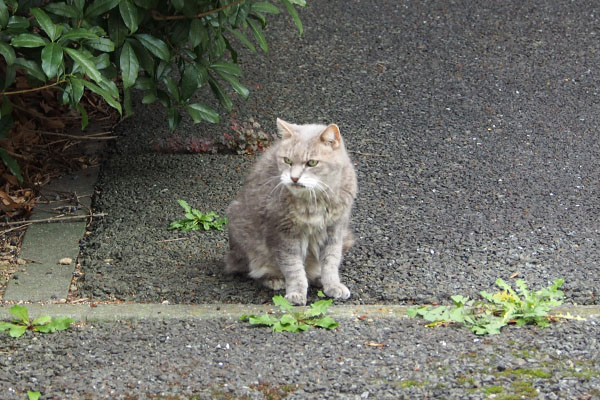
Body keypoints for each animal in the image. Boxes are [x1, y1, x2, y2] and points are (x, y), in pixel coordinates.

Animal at [225, 117, 356, 304]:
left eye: (312, 163)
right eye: (287, 160)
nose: (294, 178)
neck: (314, 200)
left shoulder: (334, 230)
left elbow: (330, 262)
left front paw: (332, 285)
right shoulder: (283, 233)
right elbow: (293, 267)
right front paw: (296, 292)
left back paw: (317, 278)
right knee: (255, 270)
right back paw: (273, 279)